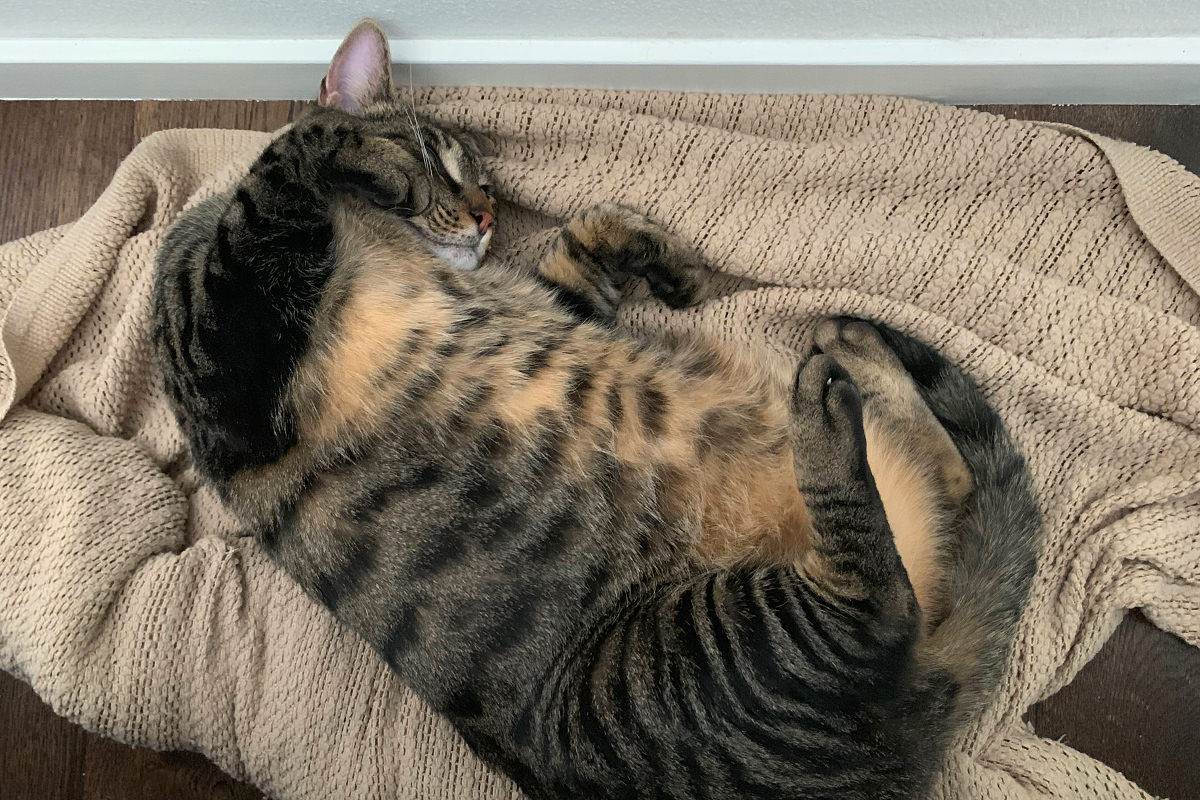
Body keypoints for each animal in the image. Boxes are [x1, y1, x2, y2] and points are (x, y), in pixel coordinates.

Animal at [152, 18, 1041, 800]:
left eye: (487, 184)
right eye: (440, 159)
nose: (485, 215)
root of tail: (922, 724)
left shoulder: (551, 295)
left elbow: (590, 232)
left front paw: (667, 259)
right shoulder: (221, 352)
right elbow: (291, 154)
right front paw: (362, 149)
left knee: (948, 490)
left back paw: (847, 346)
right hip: (694, 652)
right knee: (875, 588)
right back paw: (827, 392)